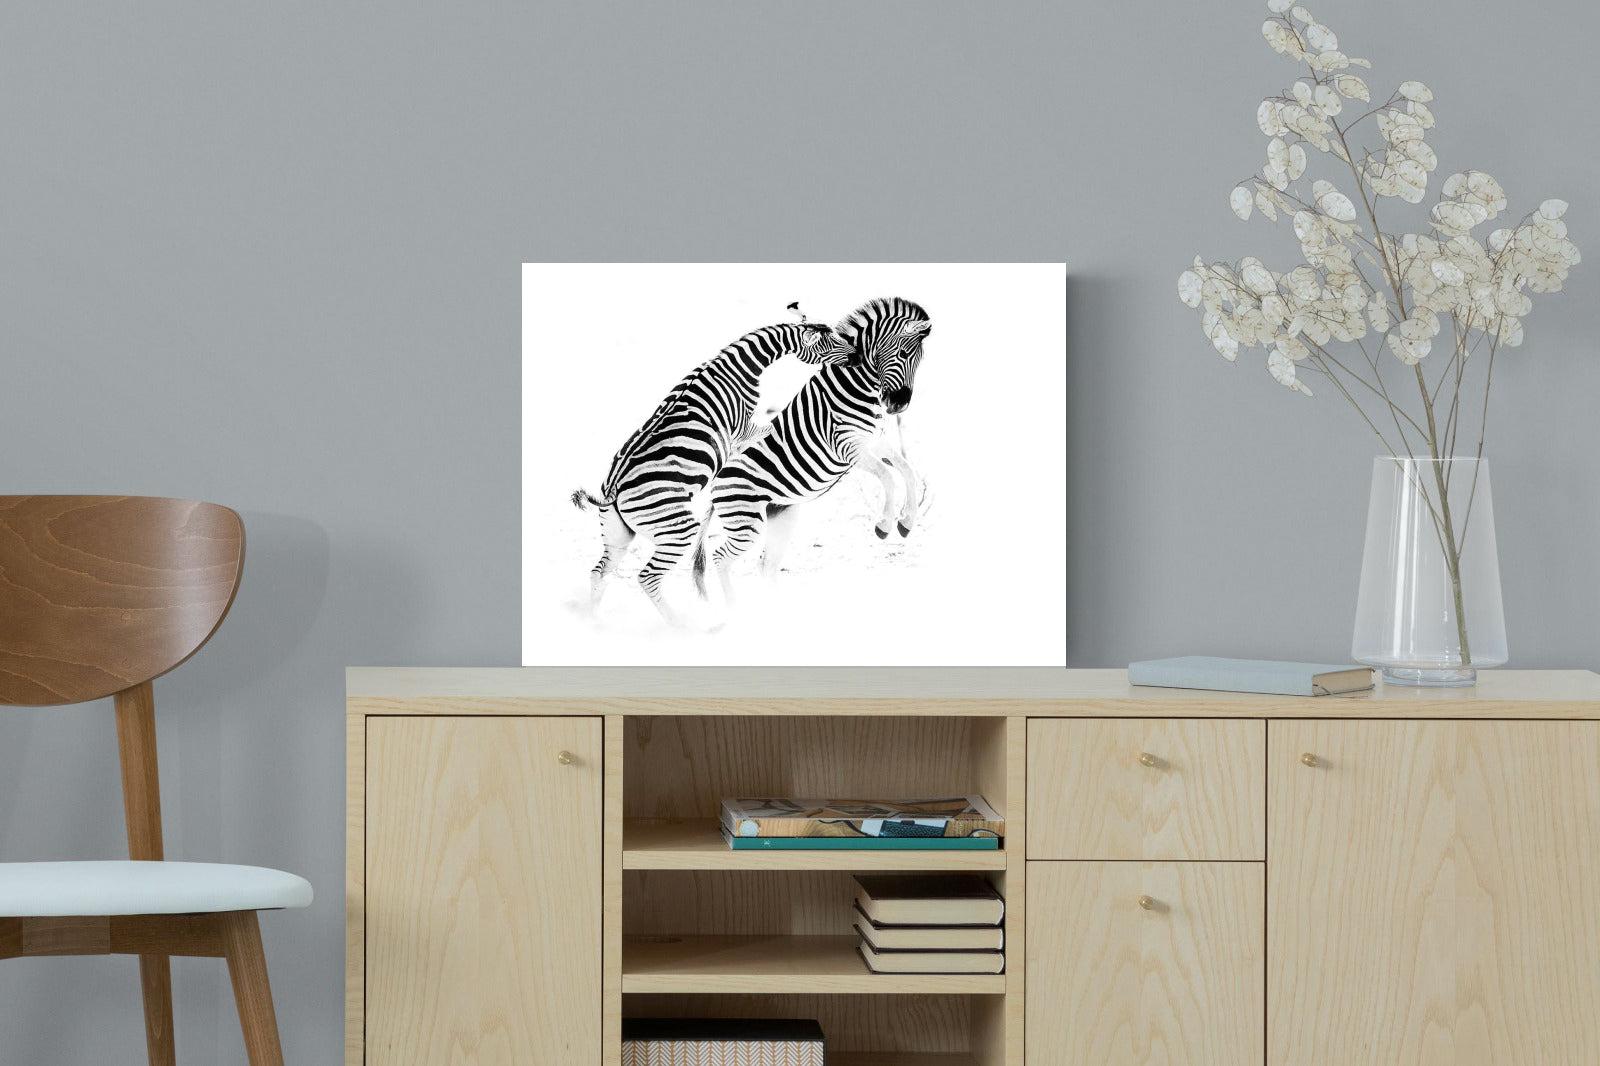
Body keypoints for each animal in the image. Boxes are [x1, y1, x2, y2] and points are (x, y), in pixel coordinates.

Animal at [571, 315, 857, 625]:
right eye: (832, 342)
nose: (856, 355)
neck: (740, 368)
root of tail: (613, 489)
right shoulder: (741, 431)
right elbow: (770, 428)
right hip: (678, 529)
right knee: (648, 577)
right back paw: (679, 624)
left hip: (617, 535)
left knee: (600, 572)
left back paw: (594, 621)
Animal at [693, 297, 932, 601]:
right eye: (903, 353)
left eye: (920, 359)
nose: (899, 405)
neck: (855, 386)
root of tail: (714, 483)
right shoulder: (846, 446)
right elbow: (888, 476)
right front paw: (884, 525)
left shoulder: (873, 440)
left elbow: (907, 471)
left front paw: (906, 522)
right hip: (746, 519)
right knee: (721, 558)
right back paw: (734, 606)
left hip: (781, 515)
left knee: (766, 565)